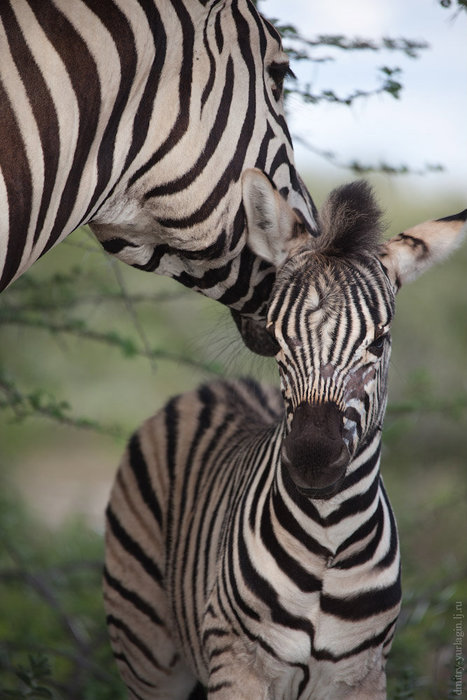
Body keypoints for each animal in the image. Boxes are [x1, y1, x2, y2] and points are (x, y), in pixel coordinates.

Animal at [104, 171, 466, 700]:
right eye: (276, 337)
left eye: (379, 341)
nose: (312, 460)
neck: (328, 537)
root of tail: (216, 386)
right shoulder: (238, 665)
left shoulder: (363, 675)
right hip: (146, 649)